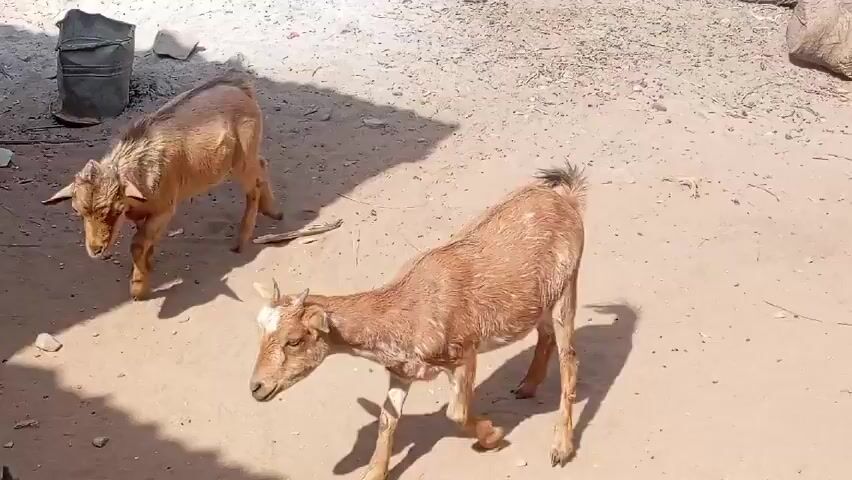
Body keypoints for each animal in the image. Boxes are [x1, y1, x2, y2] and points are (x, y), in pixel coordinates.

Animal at [43, 72, 282, 300]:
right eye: (77, 211)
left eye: (116, 211)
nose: (96, 250)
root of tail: (242, 87)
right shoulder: (143, 213)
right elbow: (147, 241)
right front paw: (147, 266)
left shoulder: (164, 209)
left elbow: (137, 244)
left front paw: (138, 289)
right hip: (245, 157)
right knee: (262, 164)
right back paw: (273, 211)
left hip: (242, 158)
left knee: (253, 187)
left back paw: (242, 240)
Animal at [248, 162, 587, 480]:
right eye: (261, 334)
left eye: (294, 340)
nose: (256, 387)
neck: (406, 313)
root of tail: (566, 199)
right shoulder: (401, 371)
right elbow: (387, 419)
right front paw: (374, 472)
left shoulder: (463, 353)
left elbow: (456, 413)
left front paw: (493, 435)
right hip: (539, 302)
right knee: (545, 335)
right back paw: (527, 386)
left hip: (567, 284)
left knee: (569, 360)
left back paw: (561, 446)